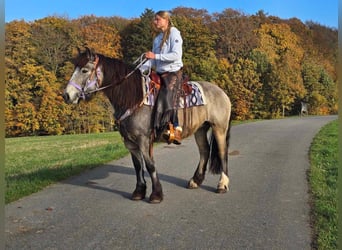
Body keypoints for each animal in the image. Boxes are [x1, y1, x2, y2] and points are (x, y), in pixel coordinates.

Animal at [62, 47, 232, 204]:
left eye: (84, 70)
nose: (66, 95)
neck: (133, 98)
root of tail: (222, 92)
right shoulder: (130, 142)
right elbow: (138, 166)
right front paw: (139, 191)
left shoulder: (143, 139)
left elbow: (150, 165)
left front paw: (156, 194)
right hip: (200, 129)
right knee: (204, 151)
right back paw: (195, 181)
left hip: (219, 128)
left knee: (222, 153)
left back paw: (222, 185)